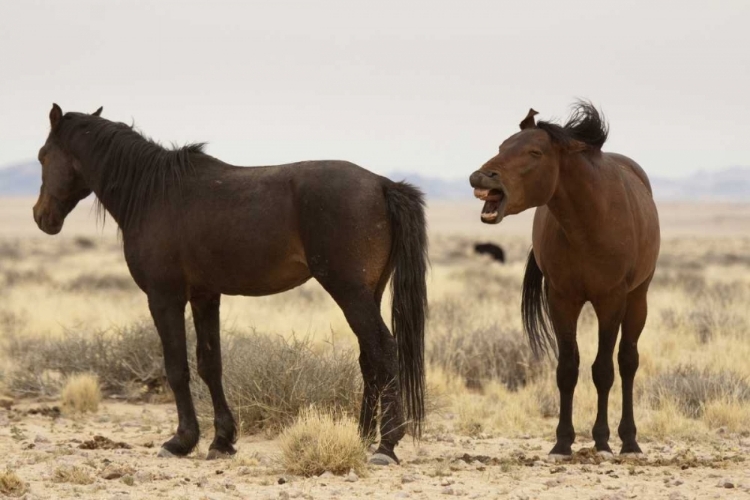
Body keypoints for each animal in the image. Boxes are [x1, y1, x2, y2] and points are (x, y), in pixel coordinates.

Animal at [33, 103, 428, 462]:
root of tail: (382, 184)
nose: (41, 217)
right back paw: (361, 436)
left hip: (349, 292)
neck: (153, 193)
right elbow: (210, 364)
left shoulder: (165, 297)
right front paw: (221, 440)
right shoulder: (205, 296)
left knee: (383, 350)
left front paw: (181, 441)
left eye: (42, 156)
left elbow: (176, 368)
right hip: (368, 292)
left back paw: (386, 445)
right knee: (369, 357)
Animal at [472, 100, 660, 458]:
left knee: (627, 361)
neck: (588, 222)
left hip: (637, 298)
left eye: (534, 152)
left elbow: (603, 370)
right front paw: (562, 442)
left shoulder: (610, 300)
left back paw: (629, 441)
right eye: (502, 147)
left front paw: (601, 440)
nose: (480, 176)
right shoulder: (561, 299)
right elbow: (567, 369)